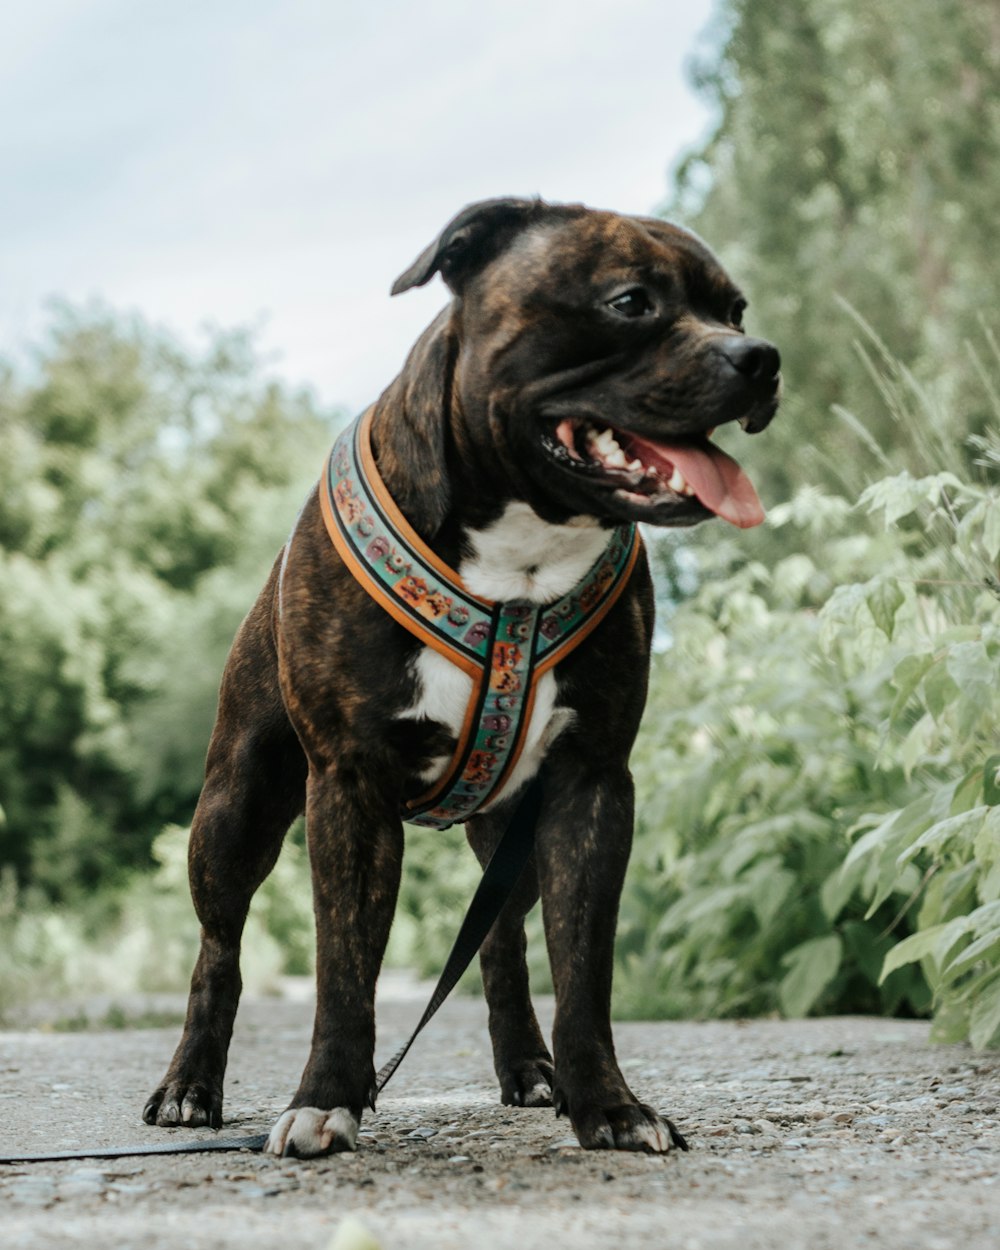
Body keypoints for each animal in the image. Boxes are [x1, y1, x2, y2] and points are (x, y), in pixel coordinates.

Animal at [142, 197, 780, 1160]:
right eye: (630, 302)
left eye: (735, 310)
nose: (761, 356)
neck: (523, 545)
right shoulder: (348, 787)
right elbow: (341, 967)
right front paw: (327, 1098)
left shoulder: (591, 788)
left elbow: (582, 969)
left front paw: (607, 1104)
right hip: (235, 808)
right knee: (221, 948)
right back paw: (190, 1085)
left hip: (510, 838)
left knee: (501, 942)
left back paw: (530, 1070)